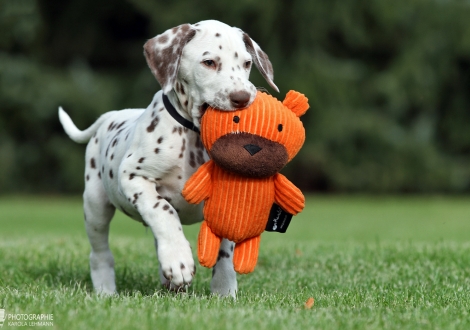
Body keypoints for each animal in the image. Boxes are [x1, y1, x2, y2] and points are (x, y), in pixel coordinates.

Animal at [59, 19, 280, 296]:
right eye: (209, 62)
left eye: (247, 63)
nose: (243, 98)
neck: (193, 138)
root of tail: (111, 115)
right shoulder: (133, 176)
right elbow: (163, 211)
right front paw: (178, 260)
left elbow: (225, 252)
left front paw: (224, 290)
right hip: (95, 205)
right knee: (100, 253)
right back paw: (105, 291)